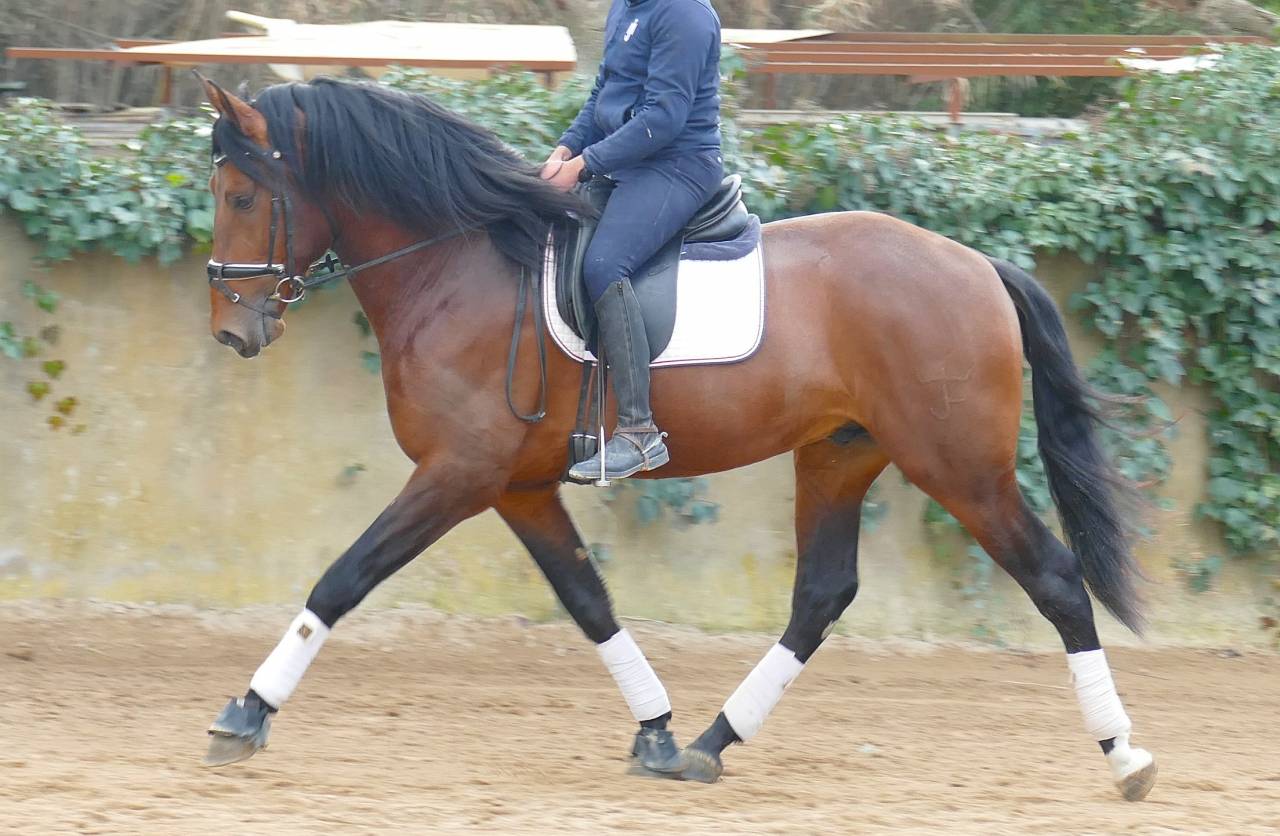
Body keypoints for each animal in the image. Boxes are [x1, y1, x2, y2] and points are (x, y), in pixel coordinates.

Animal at [195, 74, 1157, 802]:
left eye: (241, 195)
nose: (231, 333)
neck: (458, 266)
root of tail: (976, 264)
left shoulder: (457, 474)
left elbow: (342, 578)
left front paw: (245, 714)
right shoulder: (517, 486)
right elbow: (589, 602)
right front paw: (655, 732)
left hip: (959, 466)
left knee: (1055, 578)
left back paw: (1125, 754)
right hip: (840, 454)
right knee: (821, 596)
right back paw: (708, 742)